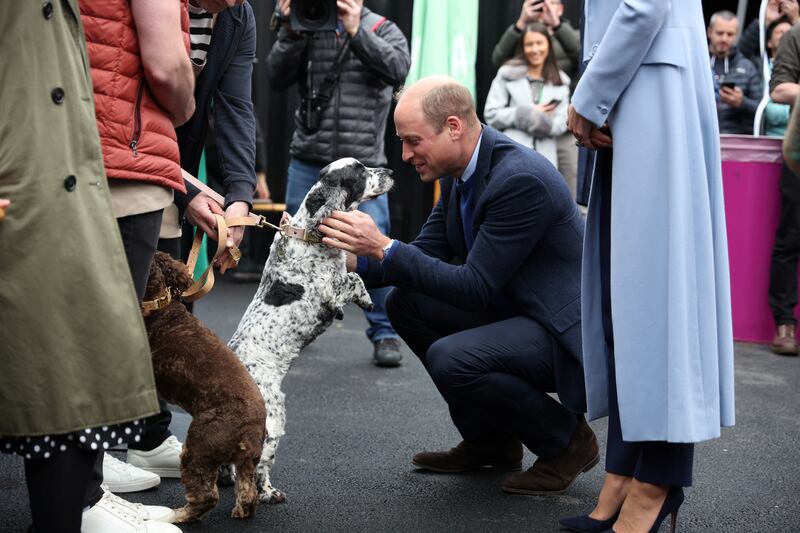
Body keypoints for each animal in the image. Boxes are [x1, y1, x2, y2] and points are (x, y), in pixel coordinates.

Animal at [145, 251, 268, 520]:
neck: (160, 307)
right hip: (246, 461)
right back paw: (241, 510)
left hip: (201, 444)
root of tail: (250, 430)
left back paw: (179, 515)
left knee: (206, 496)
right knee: (248, 492)